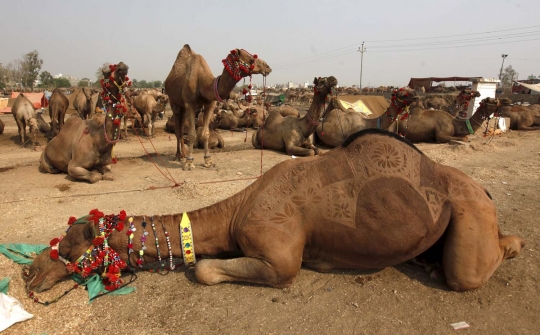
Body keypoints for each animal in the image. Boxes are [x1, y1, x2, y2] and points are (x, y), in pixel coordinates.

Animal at [24, 129, 524, 296]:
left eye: (72, 243)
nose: (30, 272)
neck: (233, 212)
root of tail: (480, 188)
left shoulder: (281, 259)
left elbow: (203, 268)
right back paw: (428, 261)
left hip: (471, 209)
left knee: (468, 272)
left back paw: (512, 245)